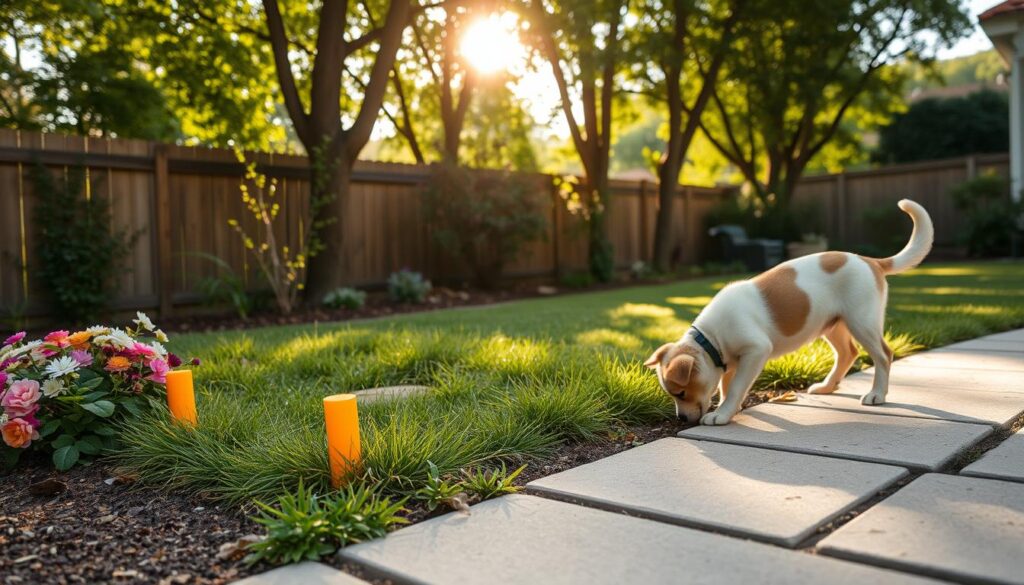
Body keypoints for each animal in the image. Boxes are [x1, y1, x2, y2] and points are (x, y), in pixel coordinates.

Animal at [647, 200, 937, 426]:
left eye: (680, 393)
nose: (681, 419)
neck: (712, 339)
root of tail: (869, 261)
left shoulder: (756, 350)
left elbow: (736, 386)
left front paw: (723, 413)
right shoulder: (731, 361)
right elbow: (726, 384)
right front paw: (730, 408)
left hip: (862, 322)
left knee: (883, 355)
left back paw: (876, 395)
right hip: (834, 325)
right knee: (848, 353)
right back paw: (827, 386)